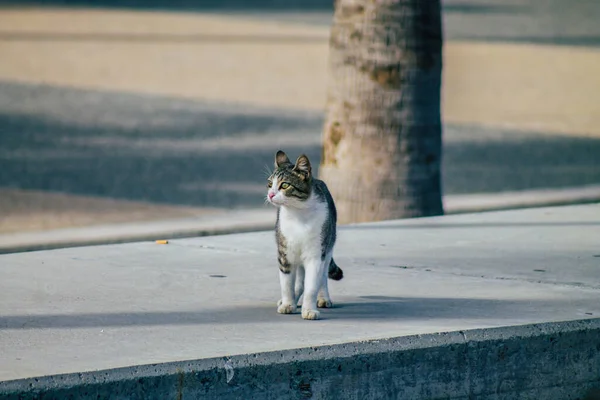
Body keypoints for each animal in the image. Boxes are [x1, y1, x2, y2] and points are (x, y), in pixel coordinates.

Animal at [266, 152, 342, 320]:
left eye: (284, 185)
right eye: (269, 184)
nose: (270, 194)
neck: (298, 214)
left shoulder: (316, 255)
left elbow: (312, 286)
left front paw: (309, 310)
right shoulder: (285, 254)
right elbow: (287, 284)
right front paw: (288, 304)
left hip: (328, 247)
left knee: (322, 278)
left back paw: (324, 298)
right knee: (298, 282)